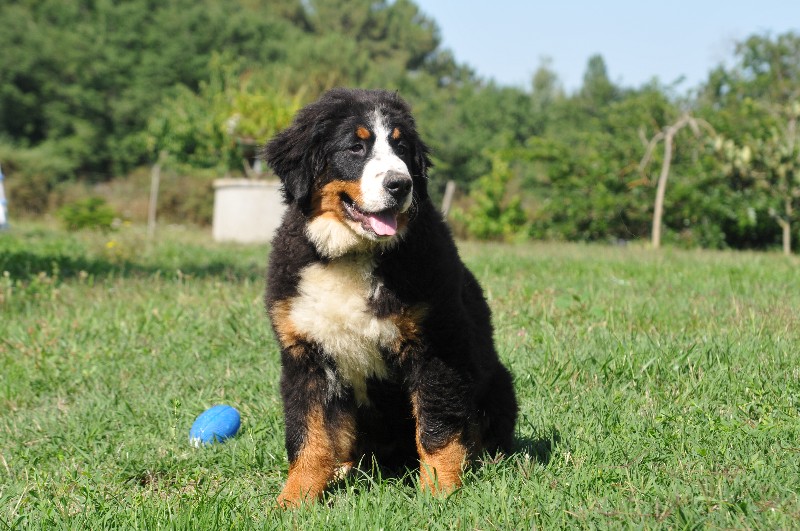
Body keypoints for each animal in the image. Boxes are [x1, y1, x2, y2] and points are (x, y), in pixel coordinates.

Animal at [264, 88, 520, 508]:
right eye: (356, 147)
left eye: (401, 148)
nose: (400, 184)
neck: (351, 255)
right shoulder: (307, 355)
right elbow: (309, 435)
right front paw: (293, 500)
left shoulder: (436, 347)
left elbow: (437, 428)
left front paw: (439, 493)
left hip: (498, 381)